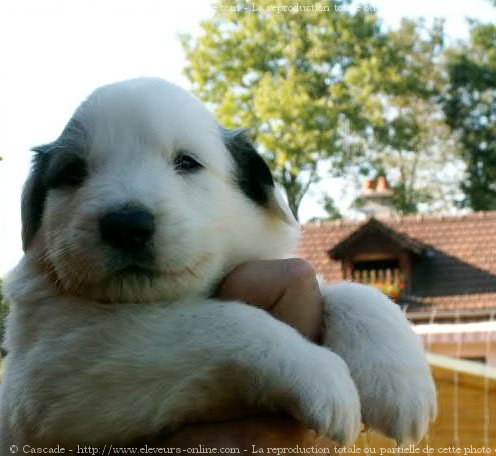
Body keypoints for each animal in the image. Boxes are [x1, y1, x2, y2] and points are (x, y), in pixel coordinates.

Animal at [0, 78, 434, 448]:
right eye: (73, 172)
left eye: (187, 162)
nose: (126, 225)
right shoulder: (56, 370)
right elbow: (224, 321)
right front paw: (322, 375)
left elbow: (355, 291)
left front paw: (398, 381)